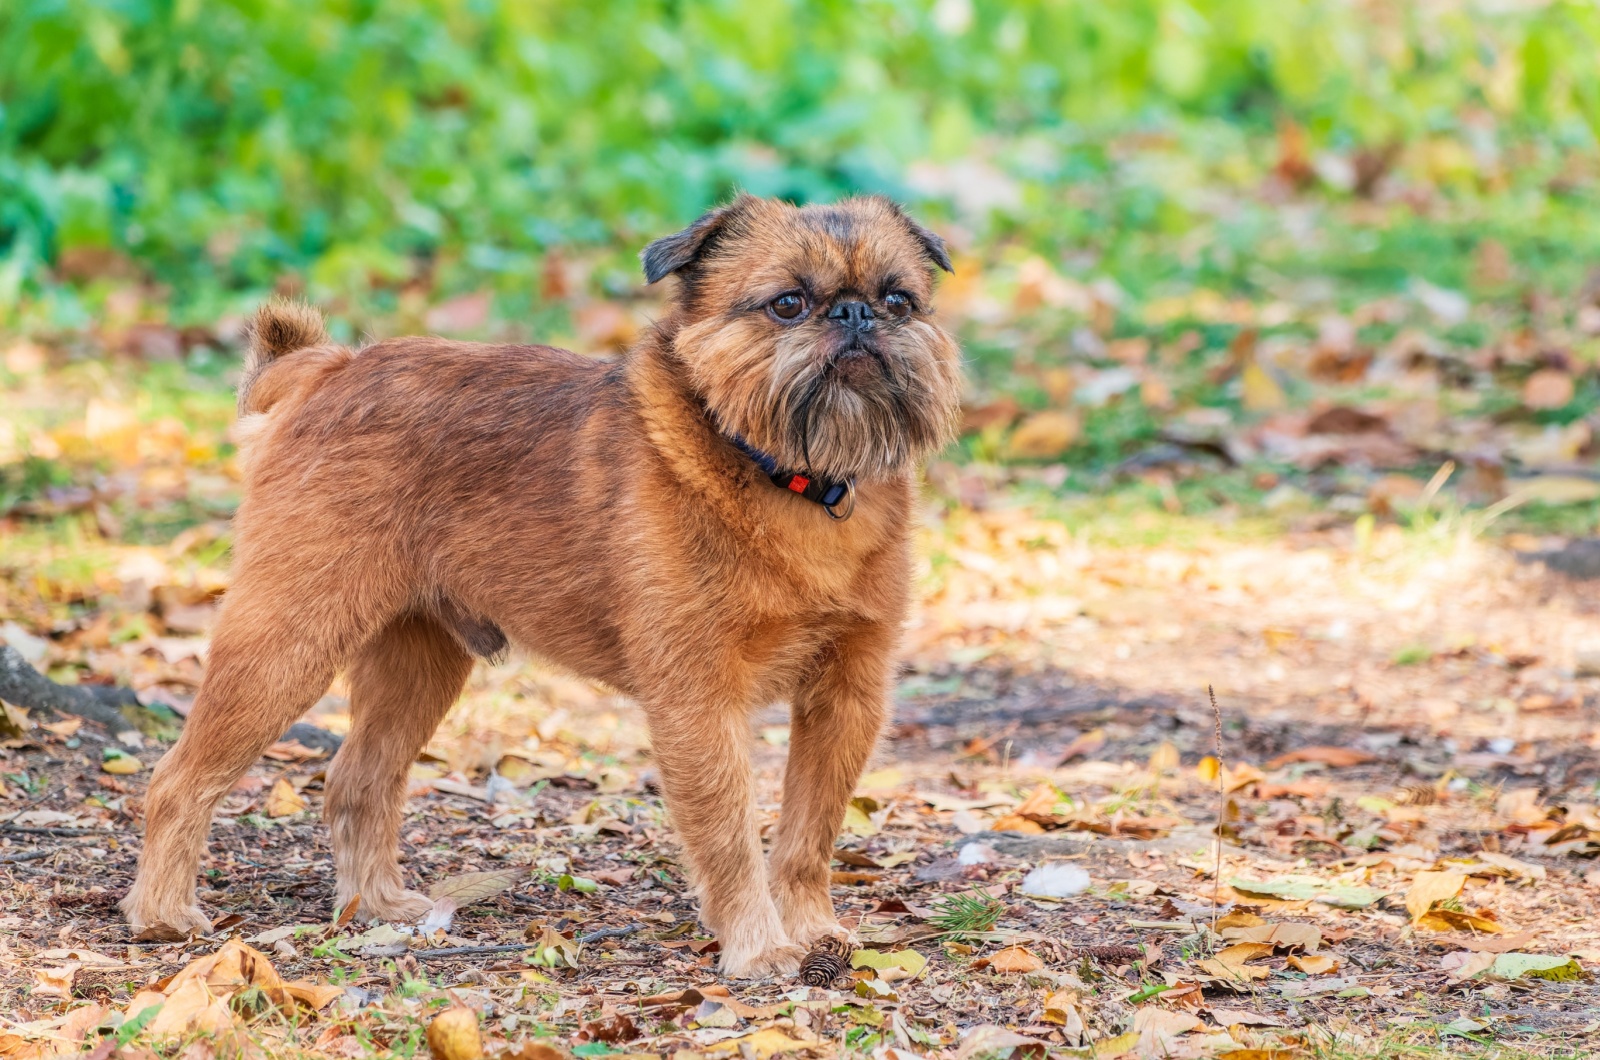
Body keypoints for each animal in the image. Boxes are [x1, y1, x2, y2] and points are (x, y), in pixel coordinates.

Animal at [121, 192, 960, 979]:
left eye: (898, 300)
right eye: (787, 303)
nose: (855, 313)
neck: (798, 481)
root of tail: (327, 368)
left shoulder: (846, 693)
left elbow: (809, 833)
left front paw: (813, 929)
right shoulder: (699, 702)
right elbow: (729, 834)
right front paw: (758, 947)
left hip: (419, 661)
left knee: (358, 779)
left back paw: (377, 905)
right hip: (287, 638)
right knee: (179, 778)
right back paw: (161, 914)